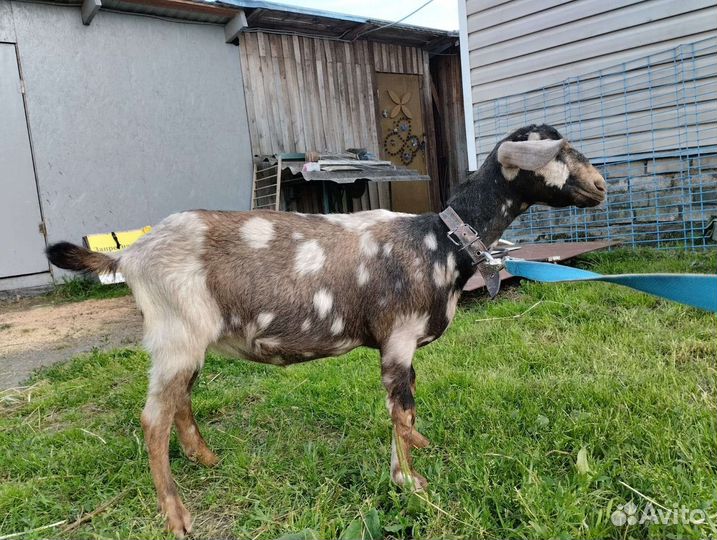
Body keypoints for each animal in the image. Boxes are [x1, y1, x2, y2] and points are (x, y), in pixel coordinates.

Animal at [46, 124, 606, 537]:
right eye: (560, 149)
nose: (601, 186)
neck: (439, 241)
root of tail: (130, 255)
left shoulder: (400, 347)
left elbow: (403, 411)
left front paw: (409, 467)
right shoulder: (397, 337)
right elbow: (402, 412)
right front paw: (411, 482)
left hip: (185, 341)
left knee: (179, 400)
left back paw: (205, 459)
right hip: (175, 333)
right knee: (152, 420)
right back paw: (177, 518)